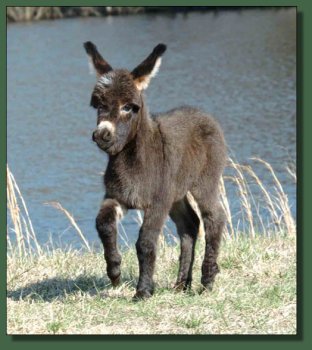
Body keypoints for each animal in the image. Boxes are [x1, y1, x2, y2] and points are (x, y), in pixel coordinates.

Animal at [84, 41, 227, 298]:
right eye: (98, 105)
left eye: (129, 107)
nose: (102, 135)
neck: (134, 164)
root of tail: (202, 113)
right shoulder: (117, 197)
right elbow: (103, 224)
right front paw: (115, 272)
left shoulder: (158, 202)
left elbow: (146, 243)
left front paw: (143, 291)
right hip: (177, 194)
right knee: (190, 225)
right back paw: (182, 284)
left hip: (204, 183)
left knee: (214, 218)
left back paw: (207, 281)